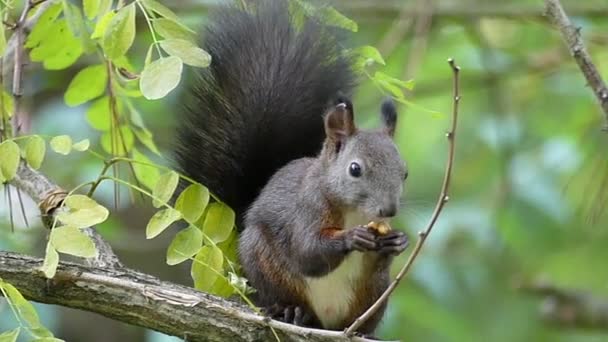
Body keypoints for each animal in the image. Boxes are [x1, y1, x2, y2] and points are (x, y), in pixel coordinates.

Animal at [175, 0, 408, 334]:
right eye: (355, 169)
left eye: (404, 172)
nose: (389, 210)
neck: (354, 212)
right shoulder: (306, 208)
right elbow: (307, 252)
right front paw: (352, 238)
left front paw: (397, 241)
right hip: (264, 262)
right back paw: (291, 311)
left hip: (373, 293)